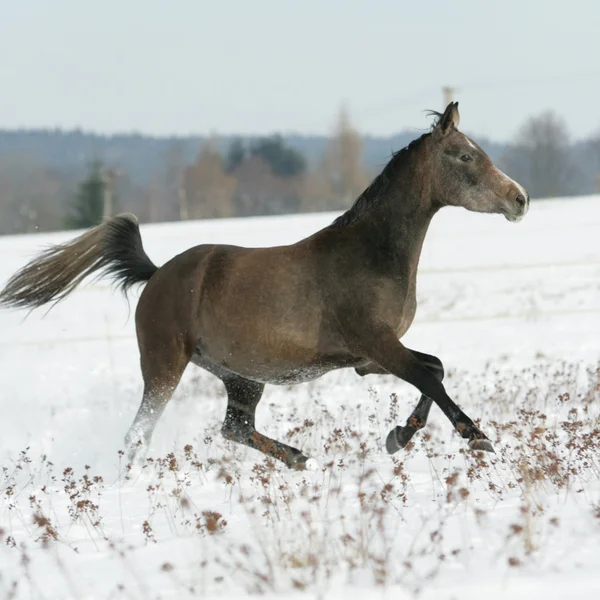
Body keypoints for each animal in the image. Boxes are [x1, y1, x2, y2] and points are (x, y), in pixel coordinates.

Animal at [0, 102, 528, 468]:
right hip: (164, 365)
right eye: (465, 156)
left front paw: (399, 437)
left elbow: (434, 367)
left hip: (241, 376)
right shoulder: (375, 343)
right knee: (141, 432)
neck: (371, 253)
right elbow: (428, 376)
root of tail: (156, 274)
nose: (519, 199)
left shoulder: (367, 359)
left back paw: (298, 458)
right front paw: (477, 437)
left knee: (233, 427)